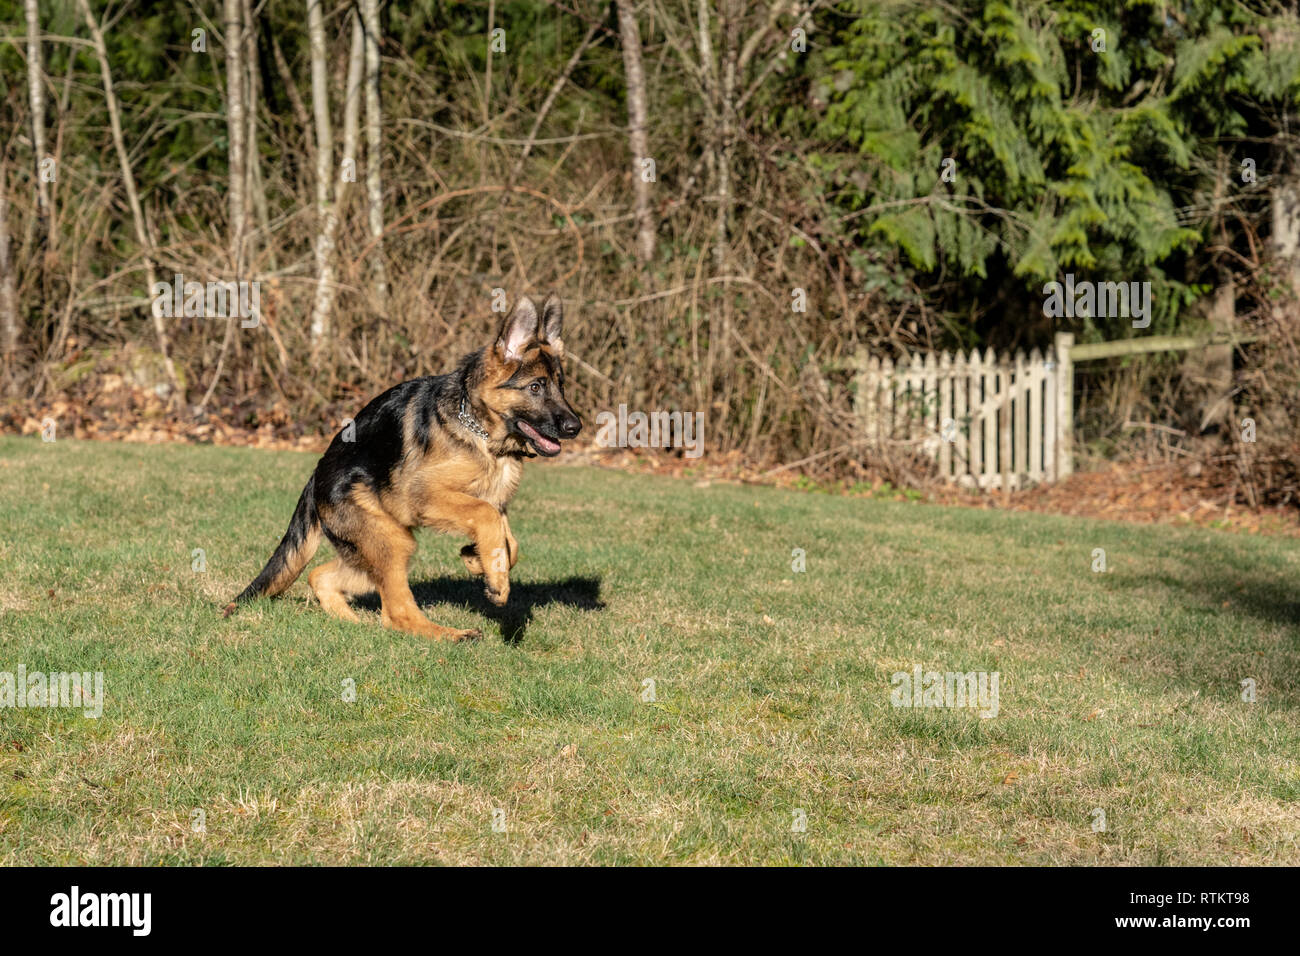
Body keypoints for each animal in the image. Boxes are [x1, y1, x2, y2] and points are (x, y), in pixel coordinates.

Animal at [226, 291, 582, 642]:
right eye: (535, 387)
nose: (575, 427)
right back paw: (451, 634)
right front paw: (495, 577)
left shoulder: (492, 500)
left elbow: (509, 539)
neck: (478, 429)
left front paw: (478, 559)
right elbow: (486, 516)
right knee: (396, 613)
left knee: (320, 575)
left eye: (561, 386)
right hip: (391, 541)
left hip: (383, 541)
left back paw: (351, 621)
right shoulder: (423, 495)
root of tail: (316, 475)